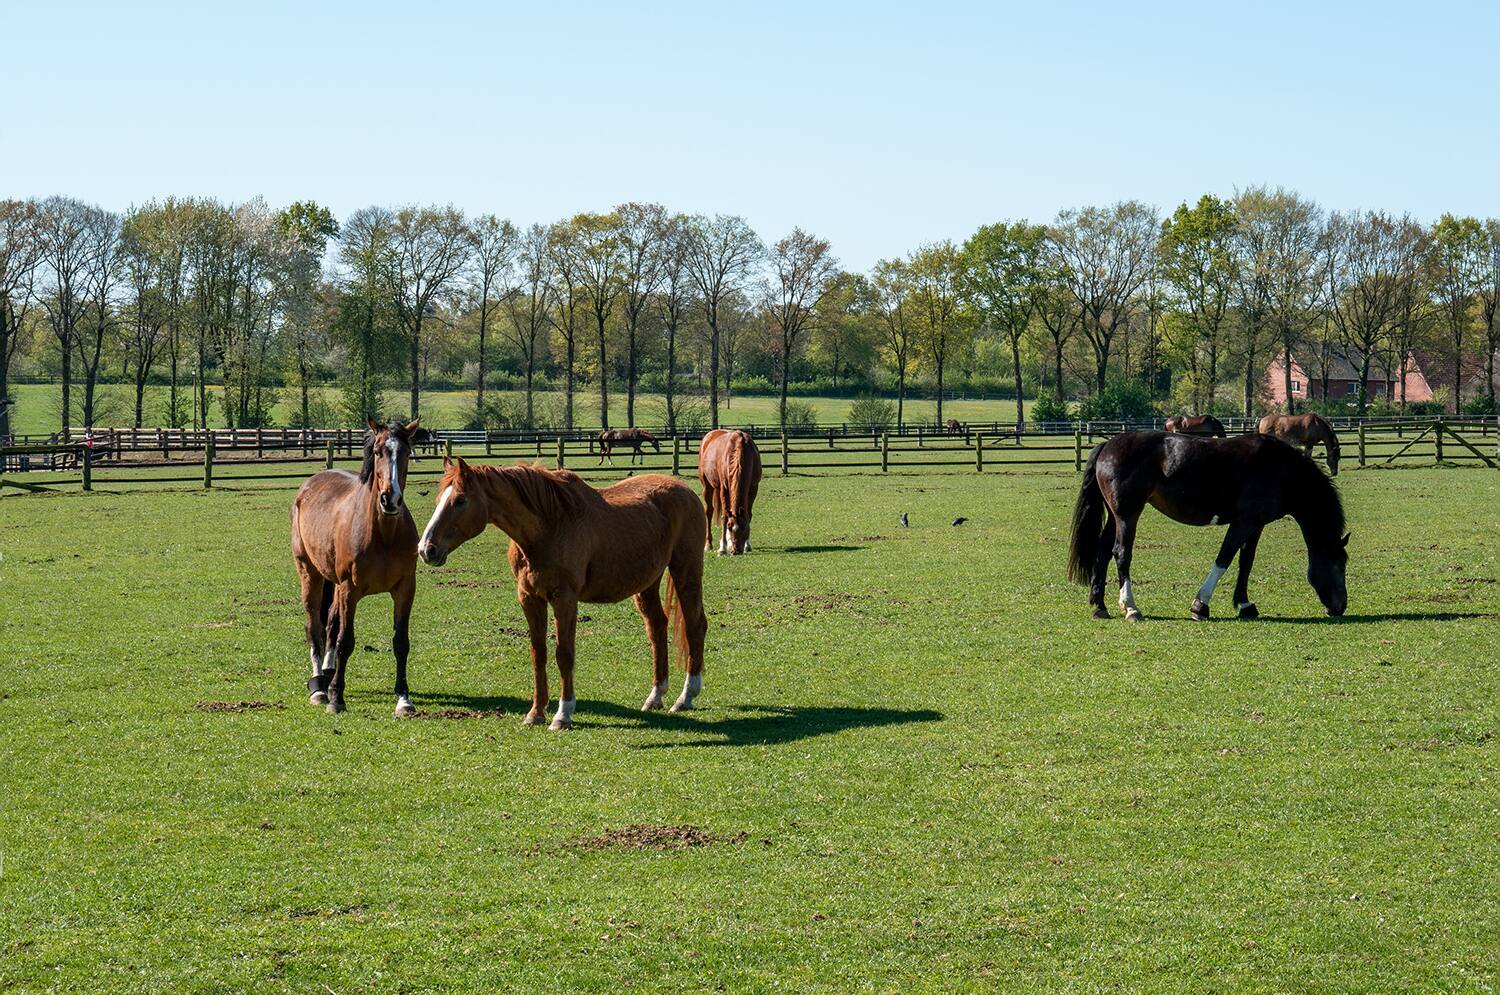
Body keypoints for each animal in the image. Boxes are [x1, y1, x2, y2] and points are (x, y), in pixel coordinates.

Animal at [291, 418, 427, 716]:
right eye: (377, 452)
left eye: (406, 452)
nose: (390, 499)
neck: (383, 534)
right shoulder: (349, 590)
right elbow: (346, 641)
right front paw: (336, 698)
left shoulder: (405, 589)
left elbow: (401, 642)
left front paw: (403, 698)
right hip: (311, 575)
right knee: (314, 628)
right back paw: (319, 687)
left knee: (330, 623)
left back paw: (328, 674)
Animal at [416, 458, 708, 730]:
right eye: (439, 499)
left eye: (460, 501)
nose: (426, 549)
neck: (549, 526)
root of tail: (685, 490)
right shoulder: (529, 598)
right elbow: (538, 653)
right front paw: (535, 712)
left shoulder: (564, 598)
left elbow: (564, 653)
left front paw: (563, 714)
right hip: (647, 584)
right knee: (657, 629)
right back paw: (655, 696)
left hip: (686, 571)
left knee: (695, 626)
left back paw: (685, 697)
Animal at [1067, 431, 1349, 622]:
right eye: (1339, 565)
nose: (1340, 607)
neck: (1282, 470)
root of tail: (1107, 445)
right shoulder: (1243, 521)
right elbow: (1224, 558)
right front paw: (1200, 605)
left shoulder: (1255, 525)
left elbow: (1246, 562)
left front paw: (1244, 605)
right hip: (1128, 516)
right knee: (1121, 554)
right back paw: (1131, 608)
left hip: (1116, 517)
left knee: (1103, 551)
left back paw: (1100, 606)